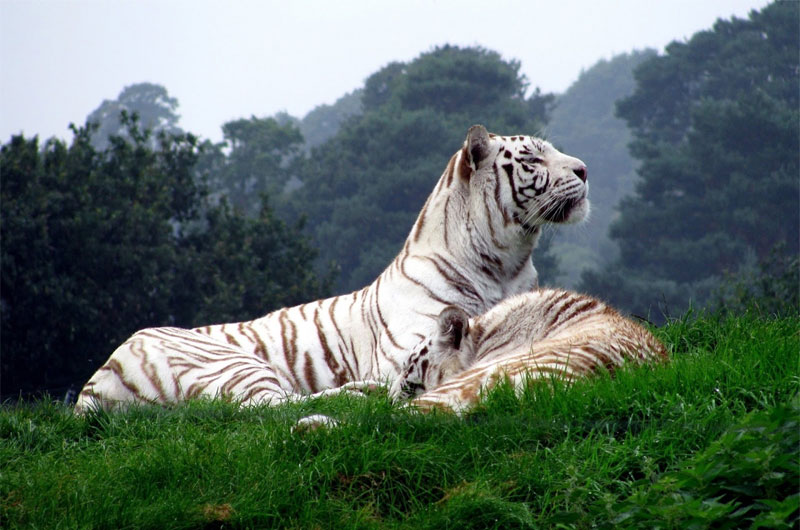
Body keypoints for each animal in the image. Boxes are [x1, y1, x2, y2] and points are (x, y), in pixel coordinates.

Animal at [75, 125, 588, 412]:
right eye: (533, 157)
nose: (585, 170)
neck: (507, 263)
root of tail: (92, 388)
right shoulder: (410, 349)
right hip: (231, 363)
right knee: (268, 407)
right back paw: (360, 394)